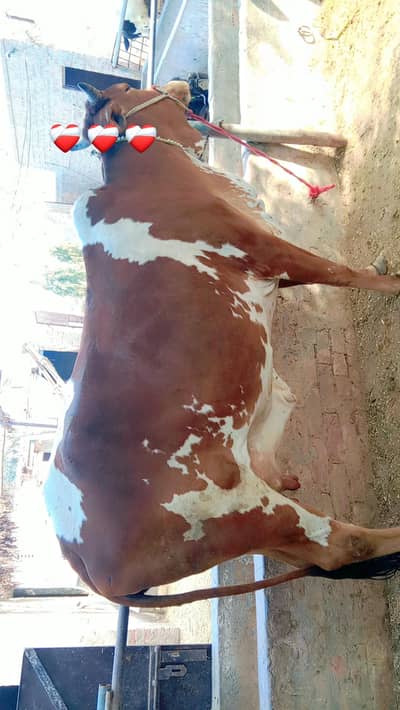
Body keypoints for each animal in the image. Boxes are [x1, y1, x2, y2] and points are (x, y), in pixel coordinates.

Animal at [44, 80, 400, 607]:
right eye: (129, 86)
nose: (184, 83)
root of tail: (82, 564)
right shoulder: (266, 250)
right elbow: (340, 272)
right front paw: (392, 281)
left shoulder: (275, 265)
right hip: (244, 509)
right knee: (342, 543)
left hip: (254, 519)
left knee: (322, 548)